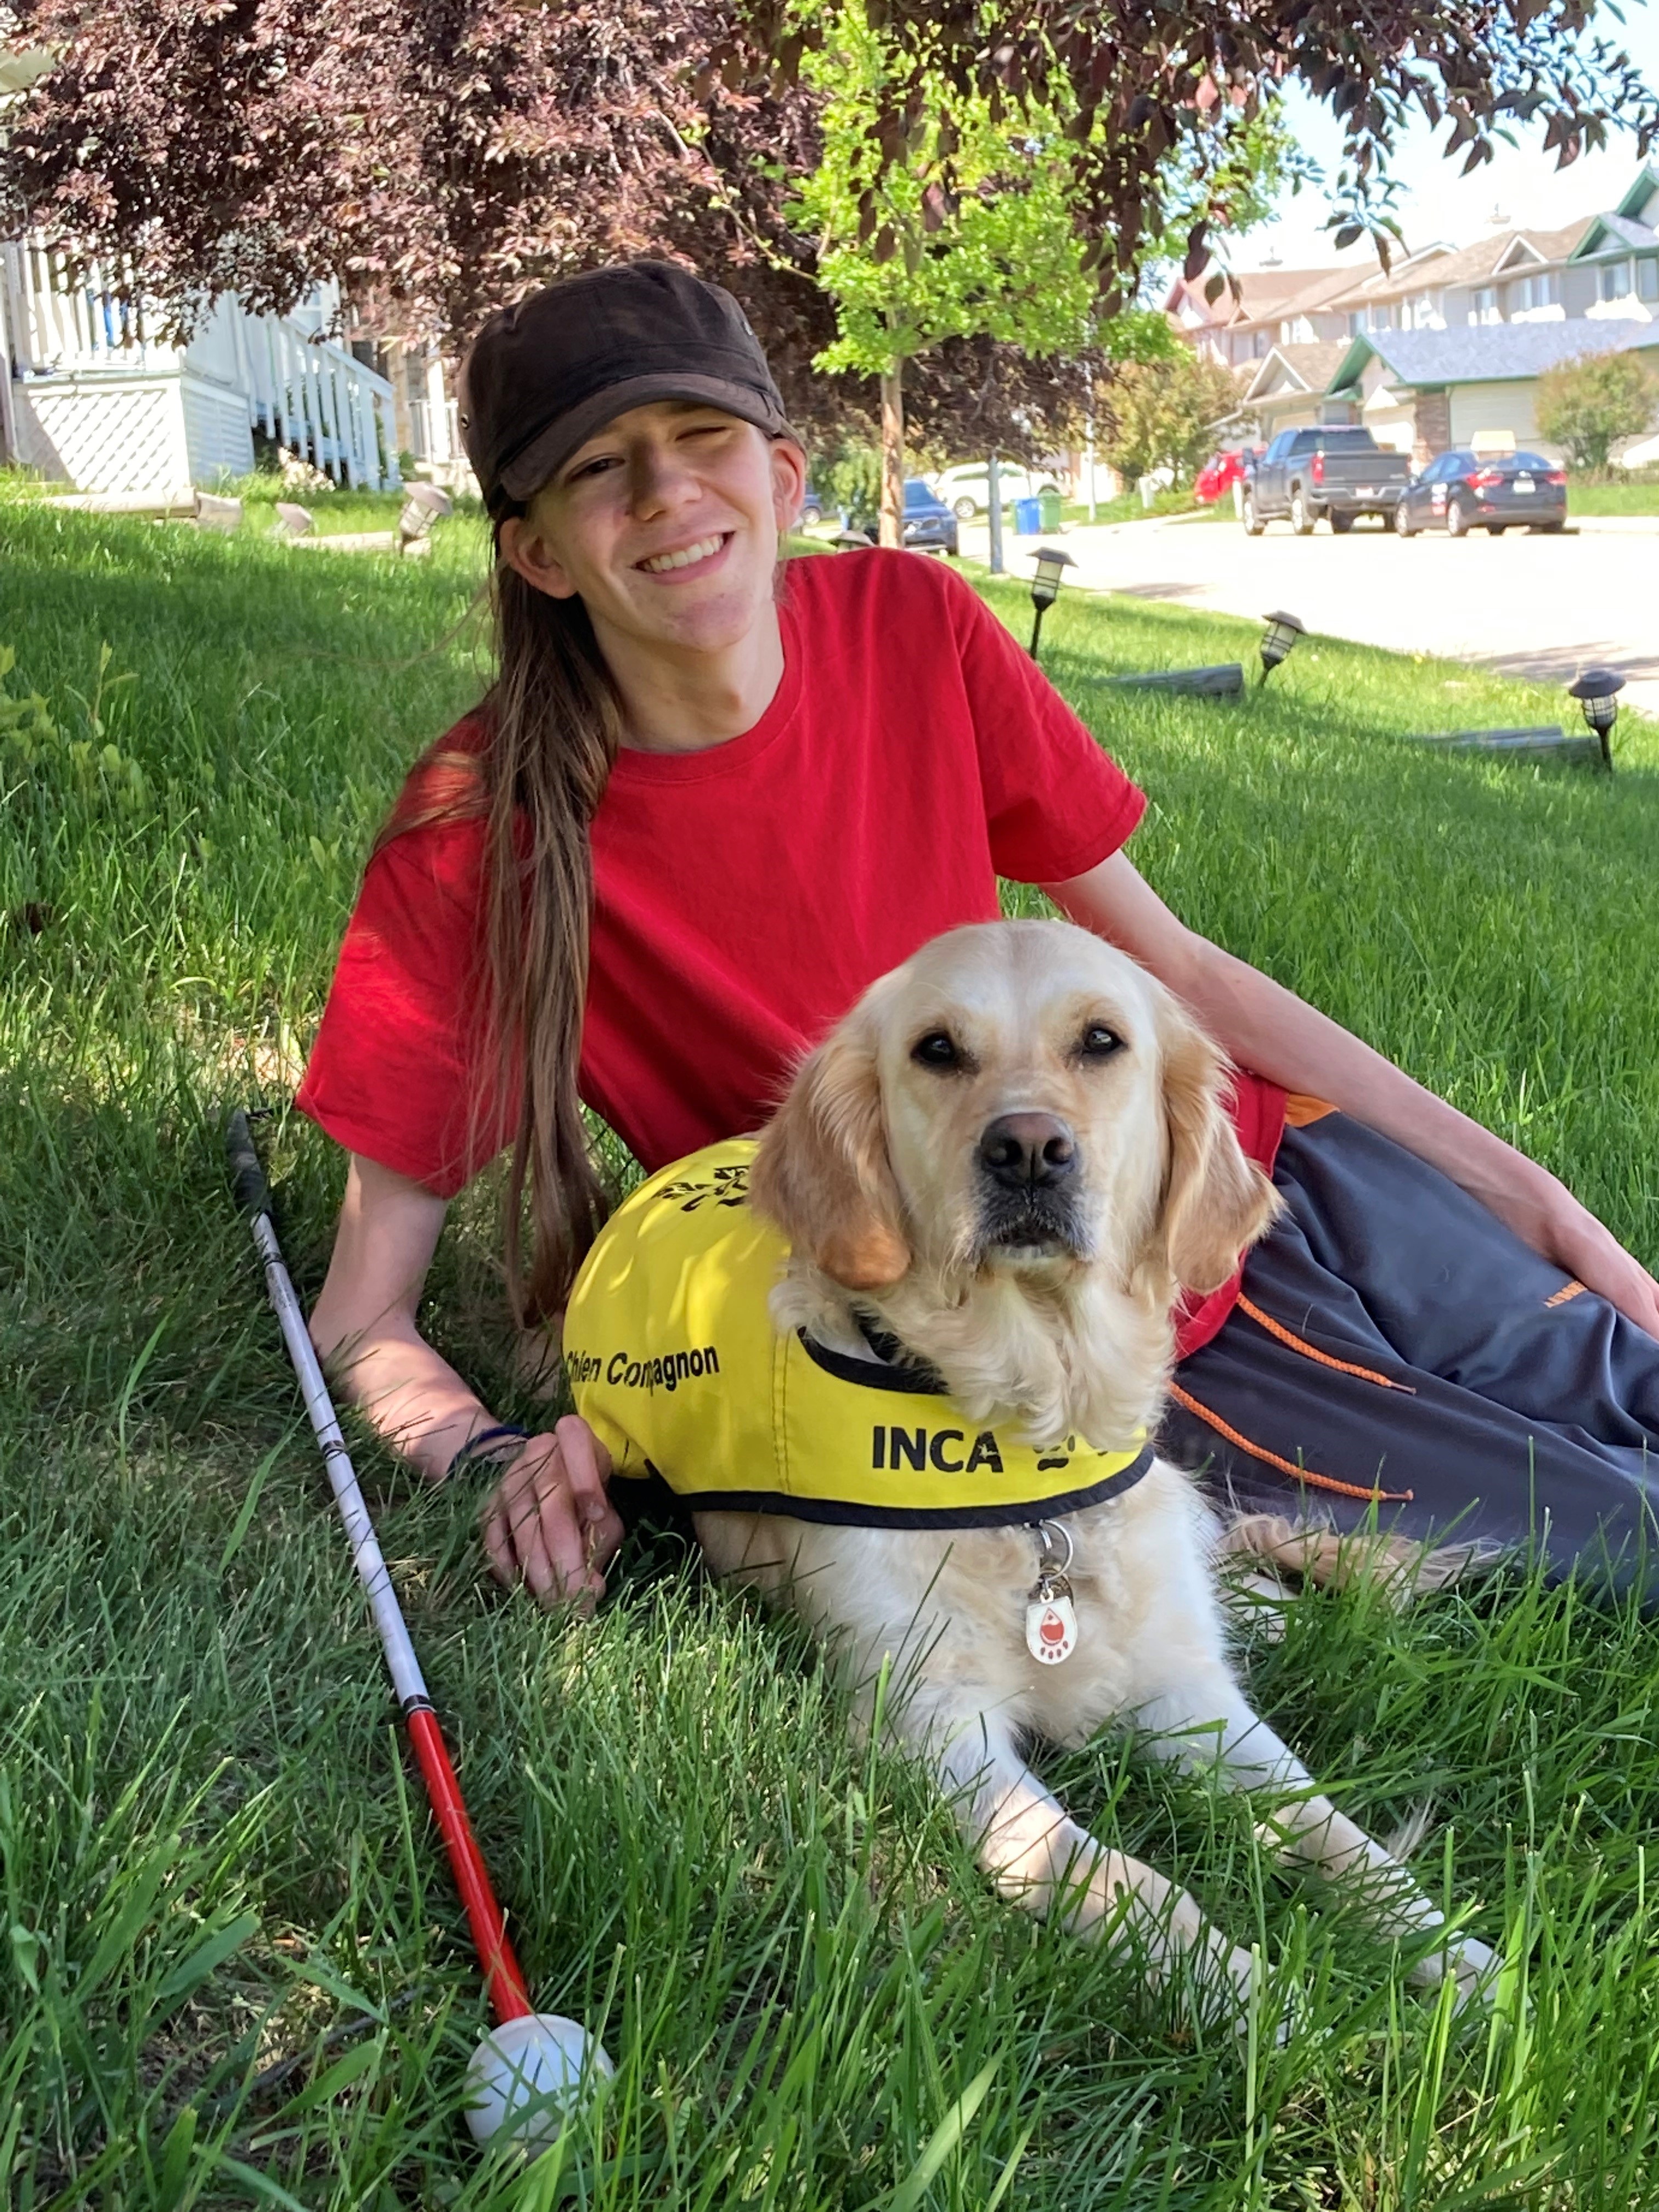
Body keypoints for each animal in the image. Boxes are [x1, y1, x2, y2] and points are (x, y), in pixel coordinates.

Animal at [681, 920, 1504, 2035]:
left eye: (1101, 1042)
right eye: (937, 1050)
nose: (1027, 1148)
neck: (1031, 1449)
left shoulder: (1193, 1700)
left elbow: (1334, 1830)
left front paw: (1460, 1964)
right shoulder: (938, 1728)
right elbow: (1124, 1881)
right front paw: (1270, 2010)